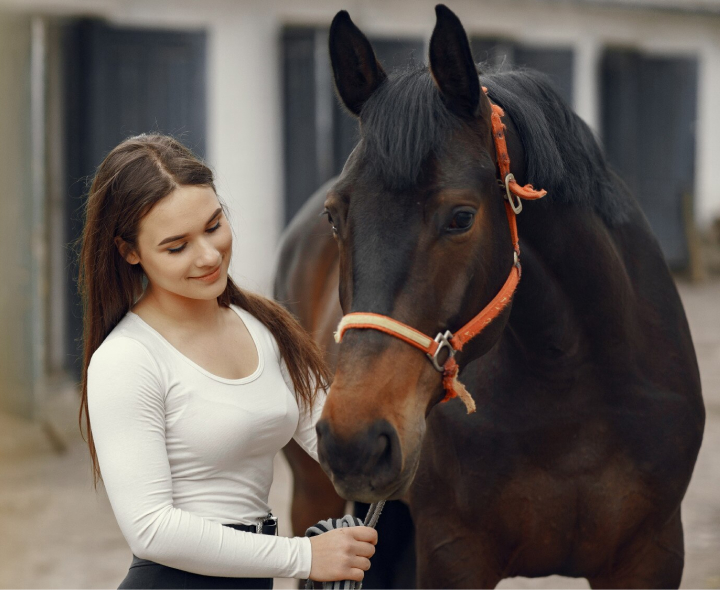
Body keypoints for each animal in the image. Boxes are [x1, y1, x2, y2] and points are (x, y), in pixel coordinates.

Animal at [274, 5, 705, 588]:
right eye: (334, 215)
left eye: (461, 217)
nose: (354, 440)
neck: (571, 387)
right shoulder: (454, 554)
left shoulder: (652, 554)